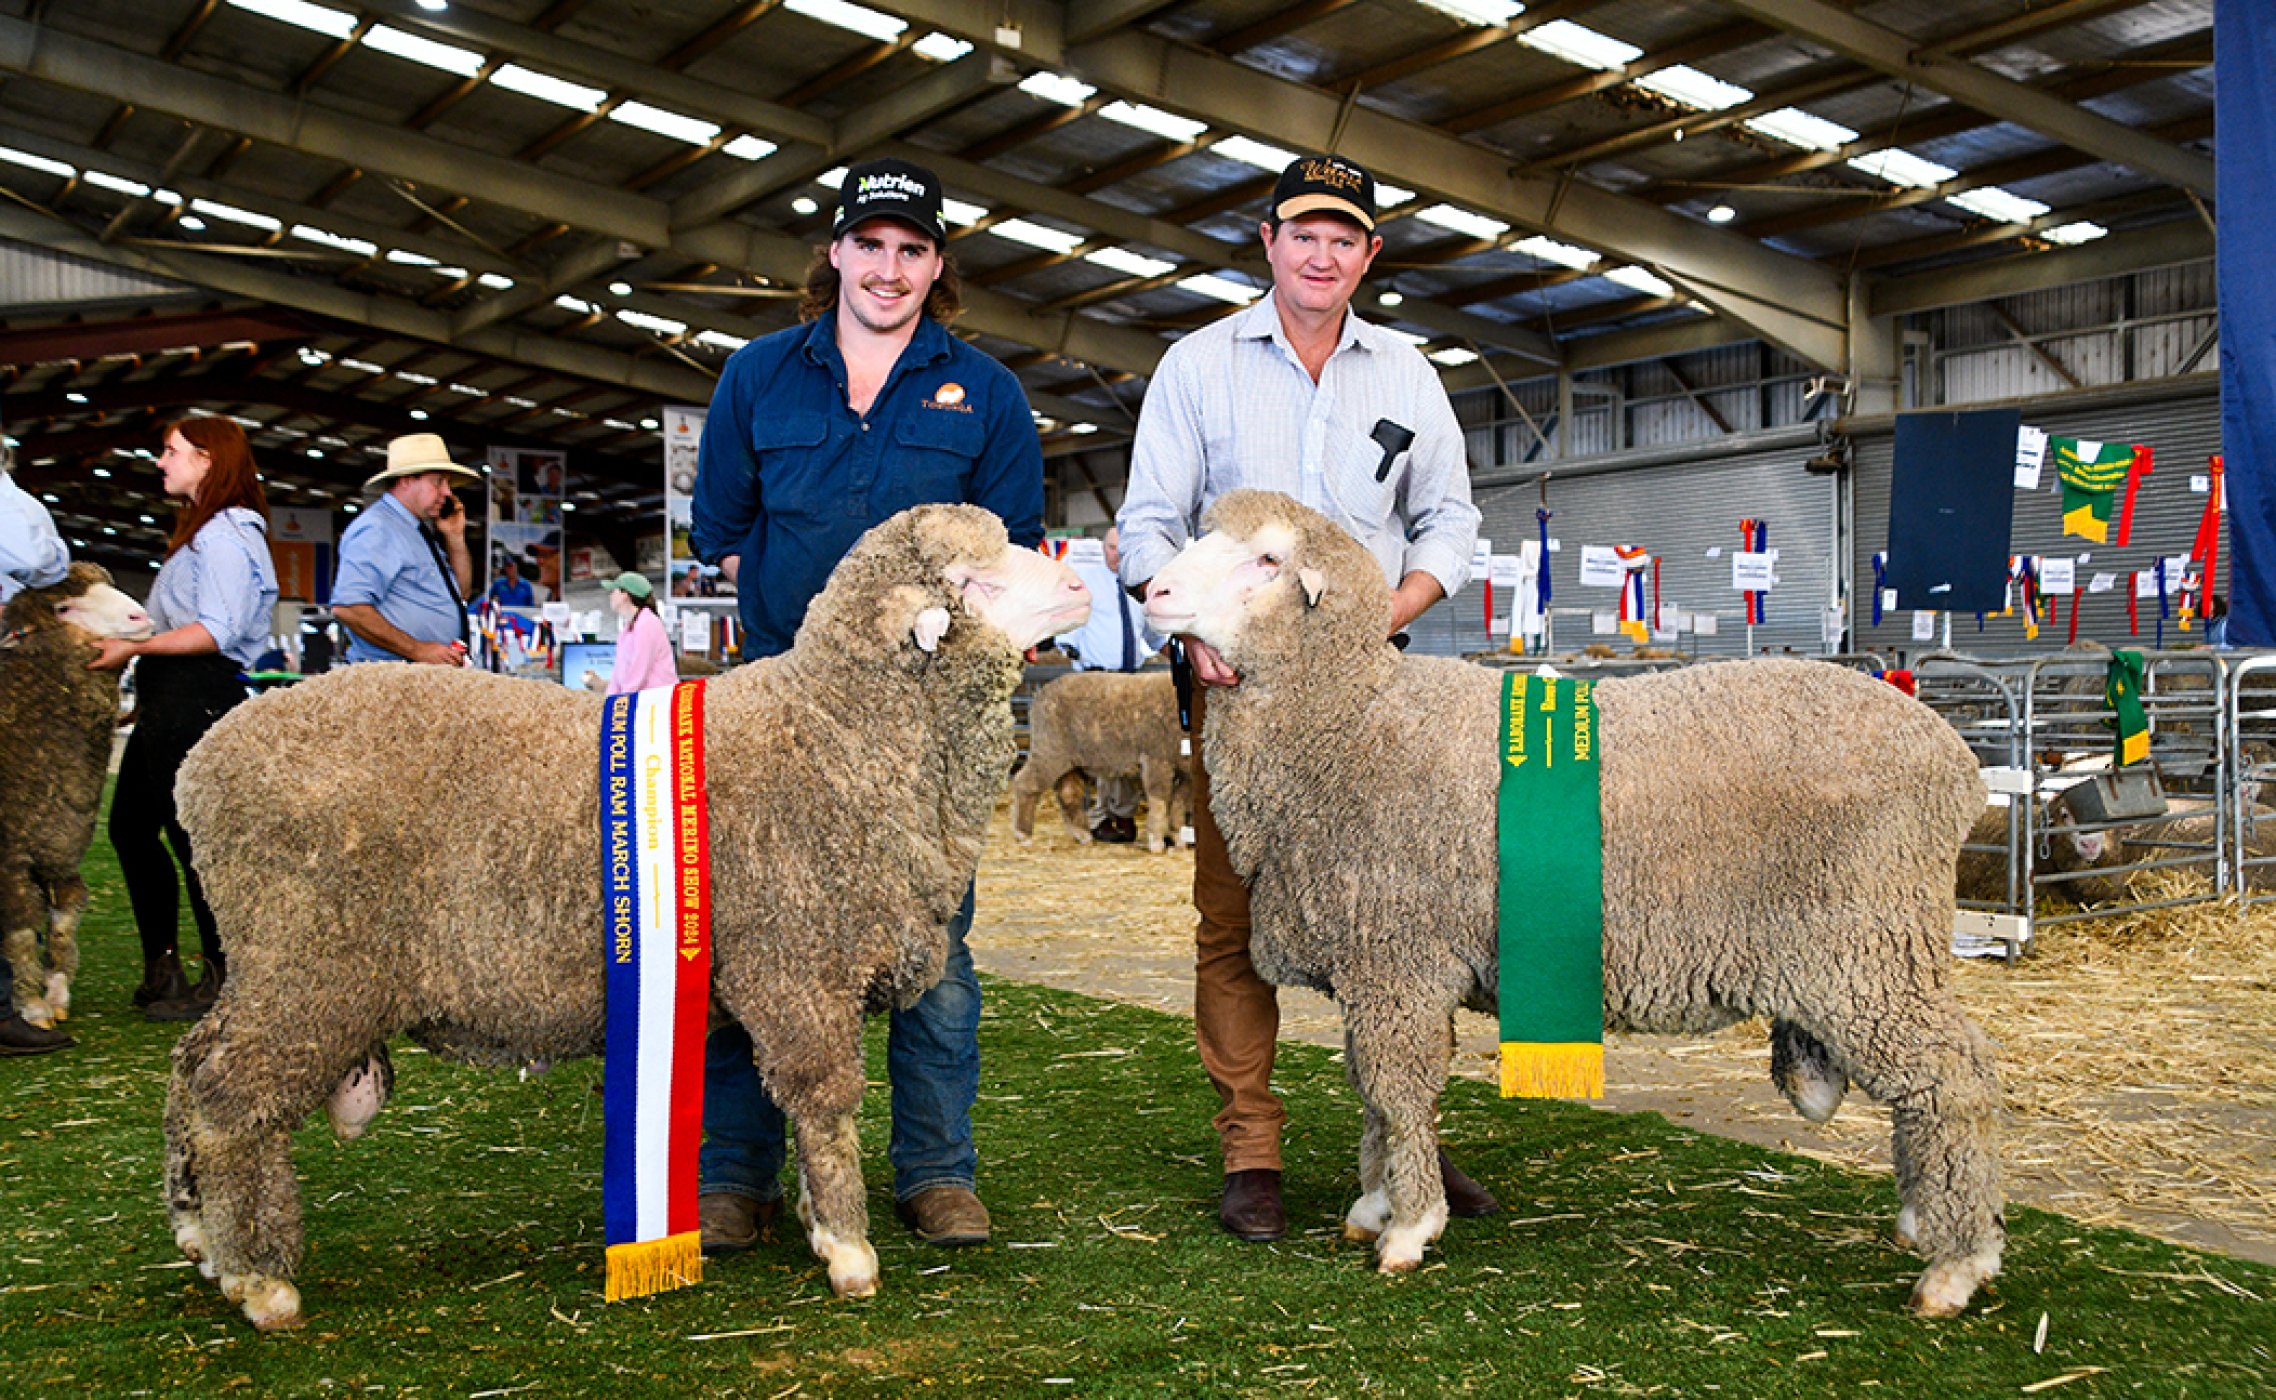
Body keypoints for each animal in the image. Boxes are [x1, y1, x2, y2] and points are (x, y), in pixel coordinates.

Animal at [1, 562, 154, 1028]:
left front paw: (56, 992)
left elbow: (63, 920)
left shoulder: (58, 846)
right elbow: (20, 932)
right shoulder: (9, 858)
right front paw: (32, 1007)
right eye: (63, 607)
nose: (141, 617)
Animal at [160, 509, 1083, 1329]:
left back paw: (201, 1236)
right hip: (310, 962)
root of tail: (200, 766)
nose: (1080, 585)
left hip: (271, 962)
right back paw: (259, 1283)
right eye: (974, 576)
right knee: (229, 1101)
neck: (833, 733)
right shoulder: (796, 963)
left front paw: (823, 1229)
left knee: (191, 1068)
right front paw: (848, 1250)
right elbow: (824, 1103)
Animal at [1015, 669, 1192, 855]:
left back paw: (1083, 835)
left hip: (1071, 762)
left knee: (1068, 794)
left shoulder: (1187, 770)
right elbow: (1160, 802)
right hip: (1049, 749)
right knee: (1026, 784)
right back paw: (1023, 835)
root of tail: (1041, 694)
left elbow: (1179, 804)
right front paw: (1157, 843)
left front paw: (1179, 841)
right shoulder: (1156, 758)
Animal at [1147, 498, 2002, 1320]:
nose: (1150, 591)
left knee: (1953, 1078)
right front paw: (1375, 1203)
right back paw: (1926, 1221)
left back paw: (1957, 1264)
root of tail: (1955, 761)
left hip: (1867, 946)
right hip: (1871, 951)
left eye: (1268, 557)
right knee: (1933, 1085)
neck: (1348, 718)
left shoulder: (1397, 961)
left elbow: (1395, 1091)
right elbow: (1372, 1090)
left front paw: (1409, 1226)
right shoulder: (1382, 970)